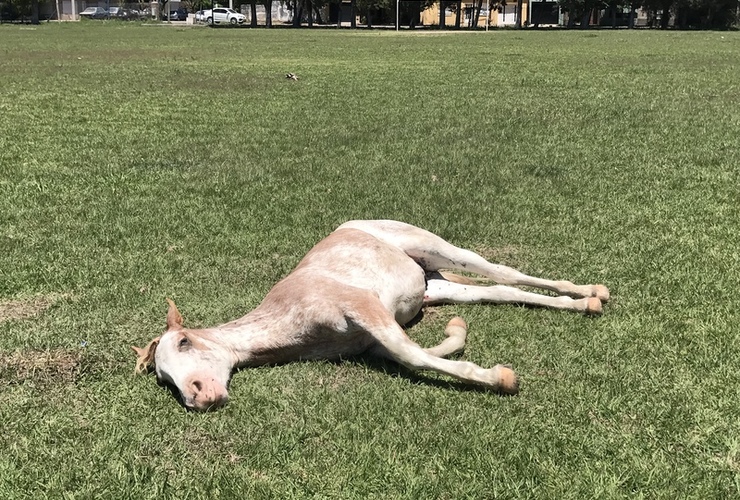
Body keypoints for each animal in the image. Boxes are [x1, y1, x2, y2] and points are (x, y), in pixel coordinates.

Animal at [133, 219, 608, 410]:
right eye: (164, 378)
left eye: (185, 340)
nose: (199, 396)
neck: (292, 321)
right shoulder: (374, 340)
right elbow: (421, 352)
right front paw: (459, 334)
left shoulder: (364, 308)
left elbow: (415, 356)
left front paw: (500, 379)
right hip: (437, 286)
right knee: (501, 290)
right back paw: (585, 301)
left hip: (437, 248)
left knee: (502, 271)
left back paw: (590, 293)